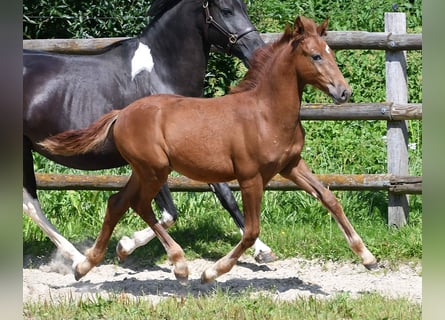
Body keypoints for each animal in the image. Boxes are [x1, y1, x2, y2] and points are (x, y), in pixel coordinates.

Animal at [22, 0, 276, 272]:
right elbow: (168, 213)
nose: (259, 53)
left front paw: (263, 251)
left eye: (245, 8)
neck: (161, 75)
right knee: (31, 203)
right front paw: (125, 246)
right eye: (227, 10)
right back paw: (78, 259)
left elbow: (225, 195)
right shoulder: (154, 160)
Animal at [40, 16, 376, 284]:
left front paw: (368, 257)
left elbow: (330, 198)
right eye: (315, 55)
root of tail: (122, 113)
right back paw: (180, 266)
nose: (343, 92)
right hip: (154, 170)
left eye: (331, 53)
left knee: (117, 203)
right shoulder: (250, 178)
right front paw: (211, 272)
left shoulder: (291, 165)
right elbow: (251, 231)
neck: (266, 113)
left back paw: (87, 264)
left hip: (144, 170)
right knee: (140, 205)